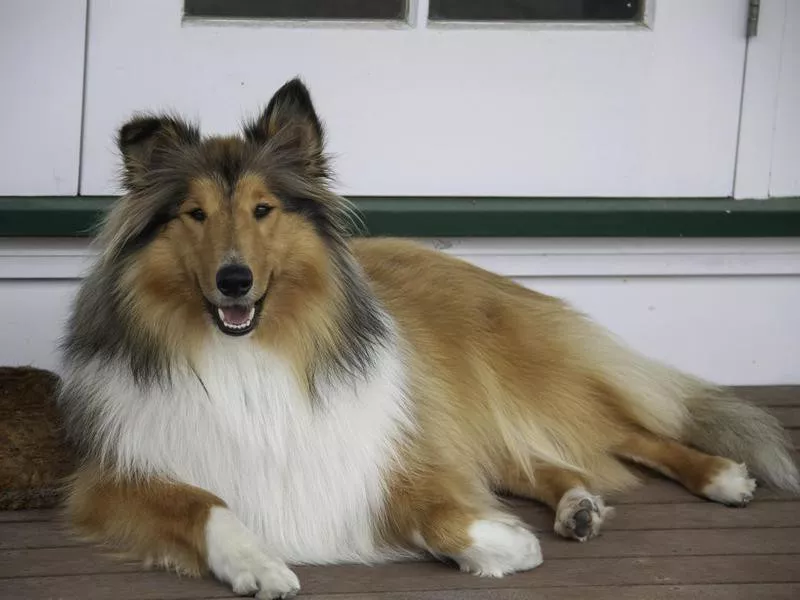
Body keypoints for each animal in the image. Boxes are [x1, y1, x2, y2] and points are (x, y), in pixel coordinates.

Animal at [57, 81, 800, 600]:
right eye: (195, 214)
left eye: (263, 209)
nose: (234, 281)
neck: (251, 352)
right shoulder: (115, 475)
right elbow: (206, 503)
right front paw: (258, 561)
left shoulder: (386, 444)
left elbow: (429, 505)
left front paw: (498, 542)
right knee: (542, 462)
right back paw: (578, 506)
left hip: (515, 383)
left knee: (627, 433)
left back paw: (720, 475)